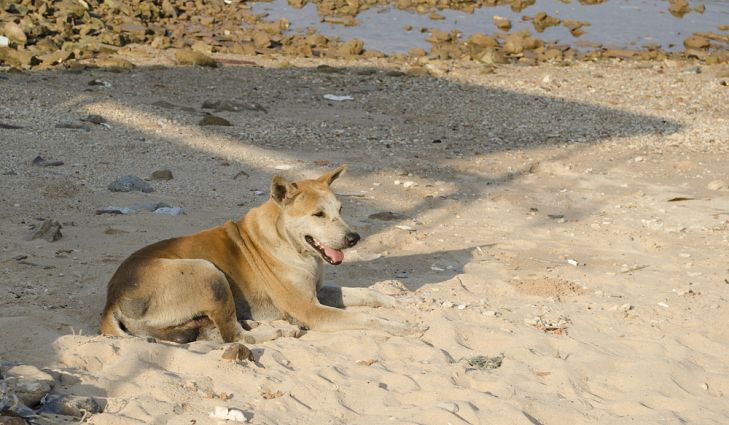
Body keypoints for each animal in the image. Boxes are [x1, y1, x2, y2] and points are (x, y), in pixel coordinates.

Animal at [99, 164, 418, 342]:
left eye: (341, 210)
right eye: (318, 214)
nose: (354, 238)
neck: (289, 243)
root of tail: (112, 298)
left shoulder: (320, 291)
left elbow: (367, 293)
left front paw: (396, 302)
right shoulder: (310, 310)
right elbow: (365, 318)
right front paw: (395, 325)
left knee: (210, 332)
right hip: (208, 272)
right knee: (233, 336)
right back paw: (279, 331)